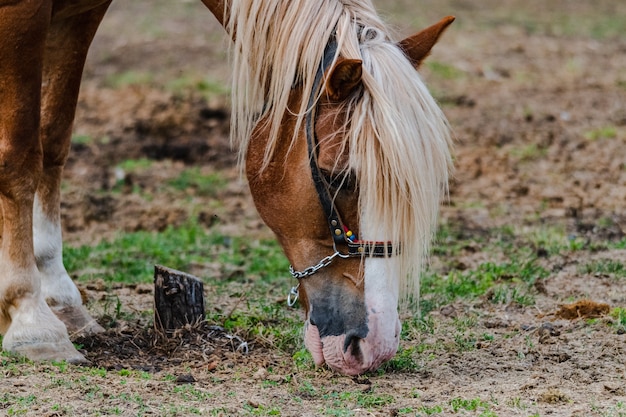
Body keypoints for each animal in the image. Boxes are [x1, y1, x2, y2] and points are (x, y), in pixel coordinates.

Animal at [0, 0, 448, 376]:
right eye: (339, 177)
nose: (376, 346)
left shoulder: (79, 14)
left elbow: (53, 141)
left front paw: (60, 300)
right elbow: (19, 156)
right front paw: (31, 319)